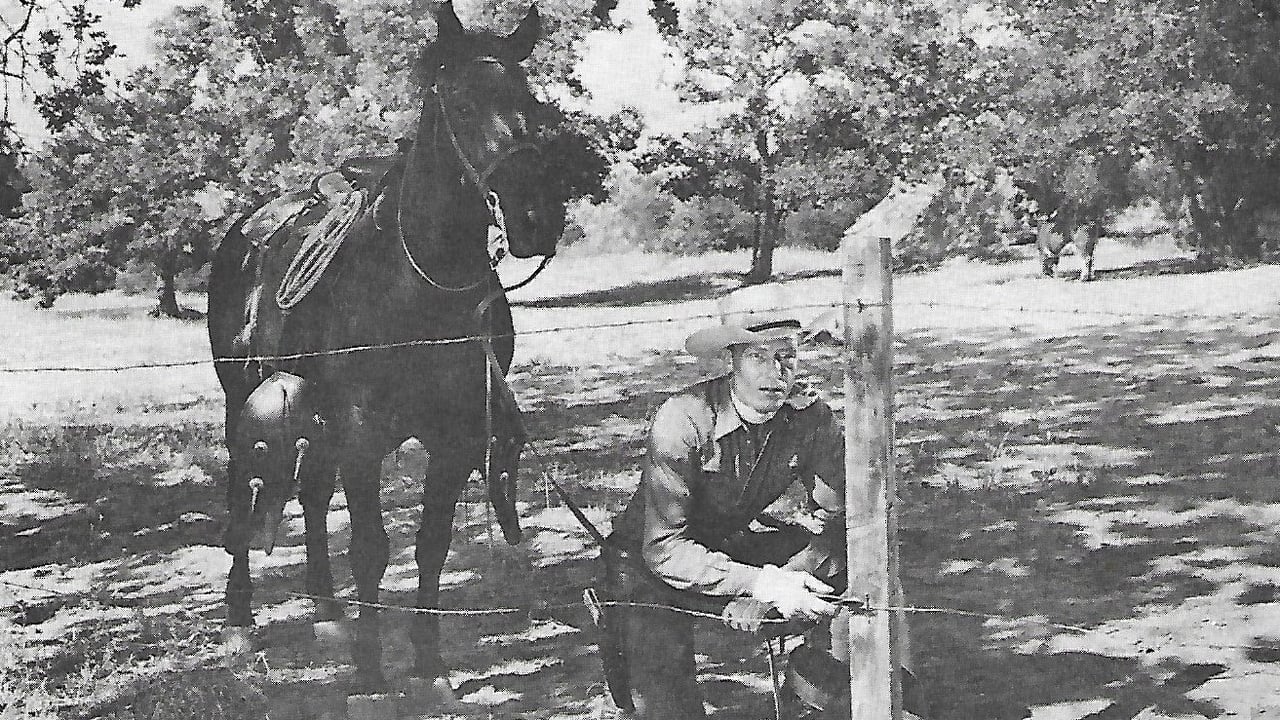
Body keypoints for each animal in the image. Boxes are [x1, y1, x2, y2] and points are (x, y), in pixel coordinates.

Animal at [206, 2, 565, 702]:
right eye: (461, 101)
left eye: (531, 102)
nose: (535, 215)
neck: (412, 287)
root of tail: (247, 230)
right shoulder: (361, 436)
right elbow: (371, 549)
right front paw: (372, 675)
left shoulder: (454, 437)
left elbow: (431, 543)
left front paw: (427, 664)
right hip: (245, 404)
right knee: (243, 496)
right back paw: (239, 621)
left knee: (313, 495)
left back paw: (326, 607)